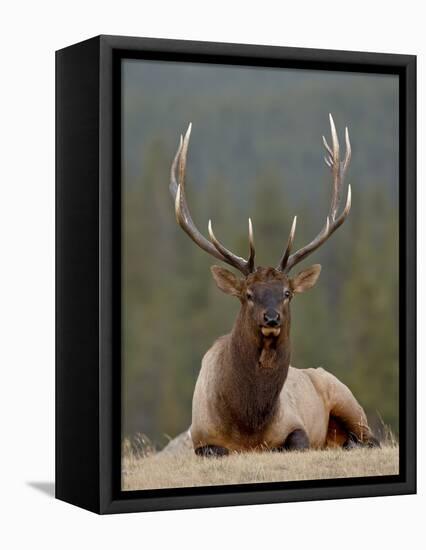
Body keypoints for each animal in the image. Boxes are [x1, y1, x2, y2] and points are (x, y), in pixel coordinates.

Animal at [168, 115, 378, 458]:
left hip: (347, 398)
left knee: (371, 437)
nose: (271, 318)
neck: (248, 421)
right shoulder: (200, 437)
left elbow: (295, 443)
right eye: (248, 294)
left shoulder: (295, 425)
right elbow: (217, 450)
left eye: (287, 293)